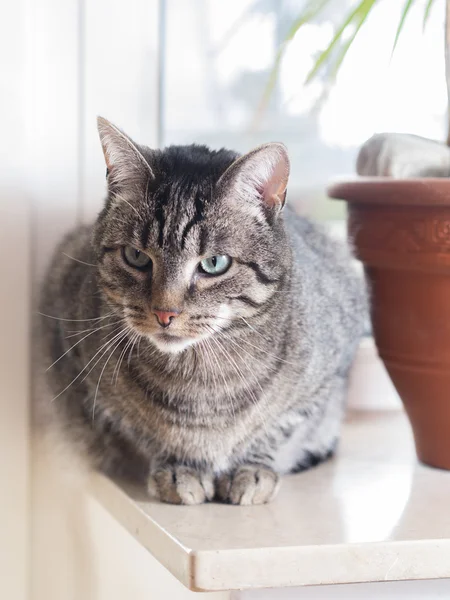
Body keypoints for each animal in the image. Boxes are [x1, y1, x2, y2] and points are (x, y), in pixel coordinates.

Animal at [40, 118, 368, 506]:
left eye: (214, 263)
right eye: (136, 256)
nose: (165, 312)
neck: (203, 384)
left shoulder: (321, 384)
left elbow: (277, 429)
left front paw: (251, 469)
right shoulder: (80, 368)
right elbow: (142, 429)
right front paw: (179, 467)